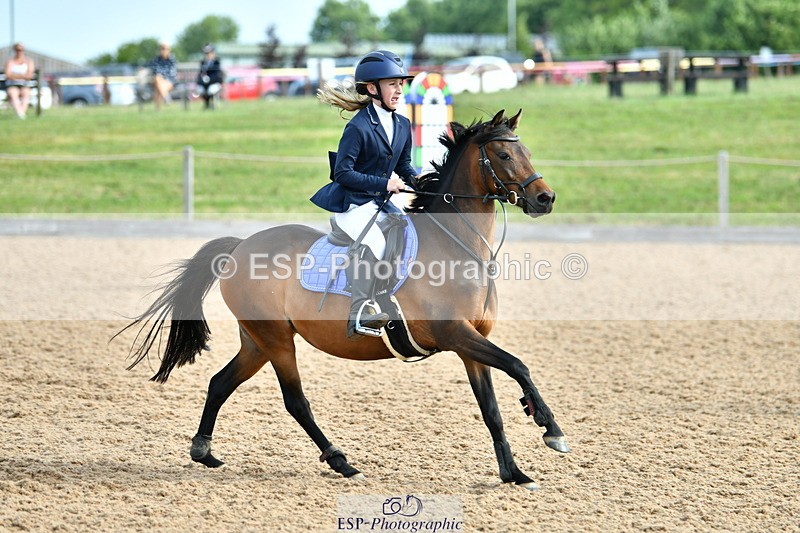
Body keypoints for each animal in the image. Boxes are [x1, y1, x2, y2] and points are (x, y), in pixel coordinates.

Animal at [121, 109, 569, 490]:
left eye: (526, 152)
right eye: (505, 154)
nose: (545, 199)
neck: (457, 245)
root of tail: (239, 246)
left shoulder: (472, 343)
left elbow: (492, 409)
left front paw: (514, 473)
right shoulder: (455, 334)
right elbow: (519, 365)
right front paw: (552, 431)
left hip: (257, 341)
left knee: (220, 383)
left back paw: (204, 451)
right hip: (276, 340)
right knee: (295, 401)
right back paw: (341, 461)